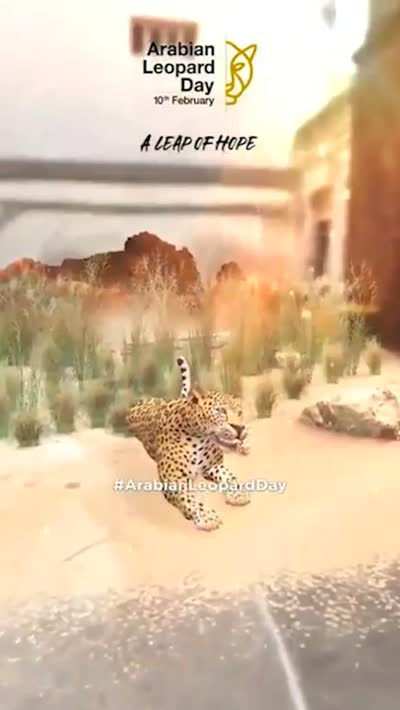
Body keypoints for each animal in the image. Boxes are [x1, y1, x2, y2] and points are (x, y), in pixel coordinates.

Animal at [125, 358, 250, 531]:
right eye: (220, 411)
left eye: (239, 412)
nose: (240, 428)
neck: (200, 438)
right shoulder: (173, 480)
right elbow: (191, 499)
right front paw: (207, 517)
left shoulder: (212, 465)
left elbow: (231, 477)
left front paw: (238, 494)